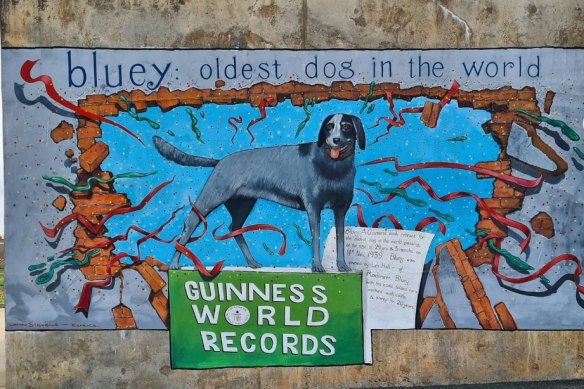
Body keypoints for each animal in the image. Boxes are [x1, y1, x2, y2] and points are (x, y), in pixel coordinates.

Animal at [155, 112, 364, 270]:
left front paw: (342, 266)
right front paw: (317, 267)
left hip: (243, 204)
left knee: (234, 228)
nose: (335, 140)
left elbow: (340, 238)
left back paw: (251, 262)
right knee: (189, 224)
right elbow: (316, 238)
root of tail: (220, 161)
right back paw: (174, 263)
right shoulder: (313, 208)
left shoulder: (341, 210)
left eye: (346, 126)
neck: (333, 167)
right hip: (210, 199)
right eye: (329, 126)